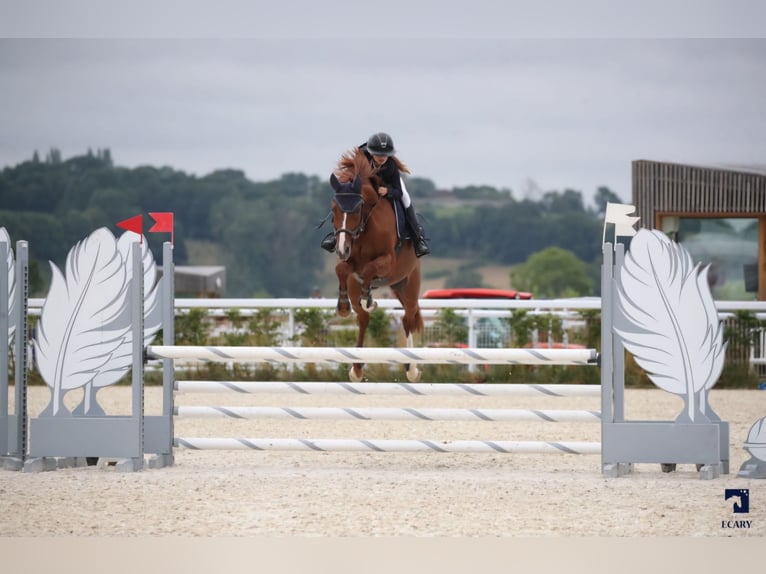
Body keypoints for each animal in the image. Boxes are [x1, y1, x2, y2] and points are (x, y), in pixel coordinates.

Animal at [330, 148, 426, 382]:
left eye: (357, 209)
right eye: (333, 209)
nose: (341, 249)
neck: (367, 224)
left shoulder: (388, 262)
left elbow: (369, 269)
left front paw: (368, 298)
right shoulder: (350, 262)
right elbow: (343, 269)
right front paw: (343, 306)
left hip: (407, 284)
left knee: (408, 317)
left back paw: (411, 368)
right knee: (363, 319)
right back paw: (356, 369)